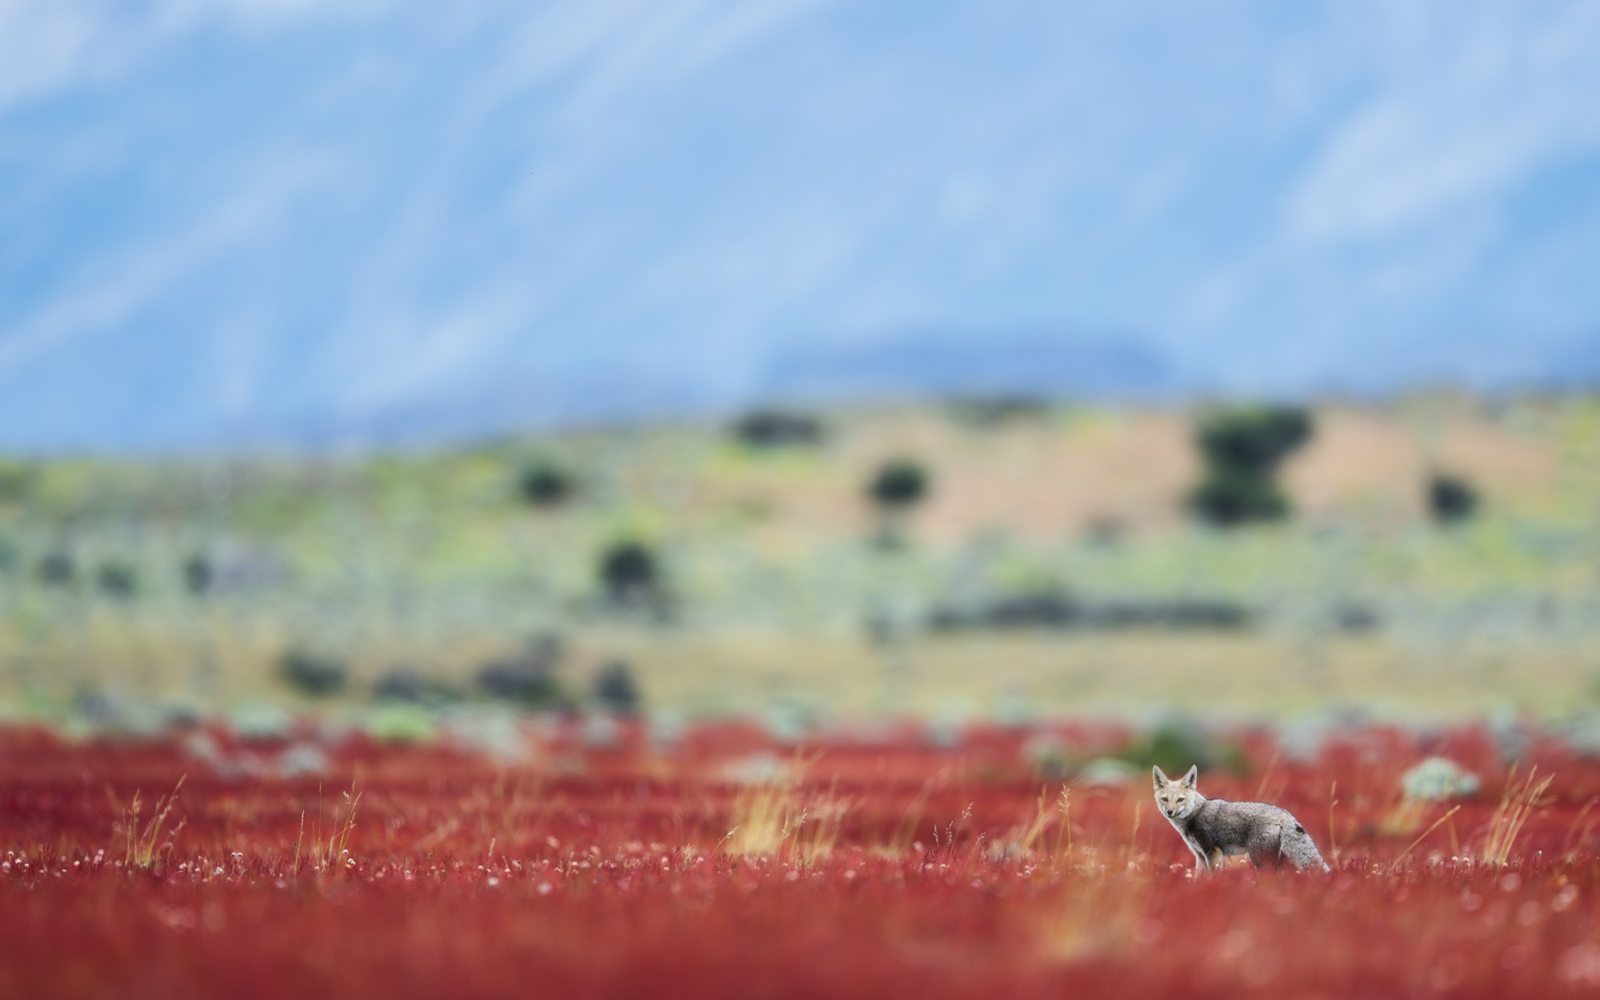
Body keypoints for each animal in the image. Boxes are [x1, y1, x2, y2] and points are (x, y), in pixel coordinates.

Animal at [1152, 765, 1331, 873]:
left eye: (1180, 800)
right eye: (1165, 799)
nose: (1169, 812)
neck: (1196, 812)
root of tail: (1285, 815)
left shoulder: (1212, 852)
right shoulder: (1200, 857)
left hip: (1260, 860)